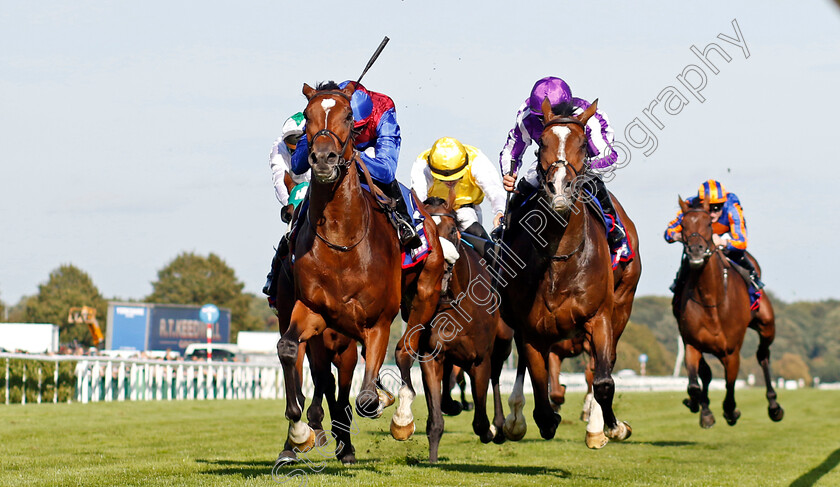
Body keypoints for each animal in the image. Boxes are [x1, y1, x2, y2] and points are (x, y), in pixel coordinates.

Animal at [276, 82, 446, 460]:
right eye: (307, 115)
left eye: (348, 116)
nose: (323, 158)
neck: (343, 240)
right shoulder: (312, 310)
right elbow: (288, 349)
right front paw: (298, 432)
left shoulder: (378, 320)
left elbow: (367, 397)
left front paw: (386, 406)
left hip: (424, 293)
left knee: (405, 351)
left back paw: (402, 417)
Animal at [424, 197, 516, 462]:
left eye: (451, 230)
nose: (439, 264)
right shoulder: (430, 354)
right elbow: (436, 419)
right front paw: (433, 458)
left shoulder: (480, 358)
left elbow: (480, 421)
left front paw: (491, 429)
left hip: (503, 344)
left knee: (496, 376)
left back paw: (499, 426)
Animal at [498, 98, 644, 450]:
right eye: (541, 145)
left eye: (582, 145)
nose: (559, 188)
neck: (559, 261)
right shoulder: (531, 330)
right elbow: (542, 388)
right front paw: (542, 418)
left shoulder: (599, 317)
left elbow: (602, 380)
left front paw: (611, 428)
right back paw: (516, 417)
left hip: (622, 305)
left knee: (602, 365)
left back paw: (596, 424)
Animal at [672, 196, 784, 428]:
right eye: (683, 225)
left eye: (708, 223)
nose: (695, 251)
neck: (711, 299)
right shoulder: (692, 344)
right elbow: (695, 384)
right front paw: (698, 405)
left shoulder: (731, 351)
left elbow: (730, 386)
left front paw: (731, 411)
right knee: (705, 375)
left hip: (767, 325)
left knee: (763, 356)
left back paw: (774, 406)